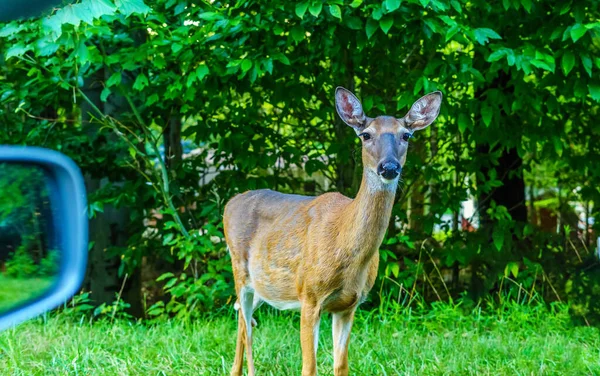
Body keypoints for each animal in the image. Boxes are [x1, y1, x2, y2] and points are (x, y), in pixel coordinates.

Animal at [223, 86, 442, 374]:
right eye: (365, 135)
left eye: (406, 135)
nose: (389, 167)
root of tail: (230, 202)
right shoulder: (309, 297)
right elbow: (309, 367)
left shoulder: (349, 306)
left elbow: (341, 365)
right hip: (240, 270)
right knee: (245, 328)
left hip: (262, 285)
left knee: (241, 321)